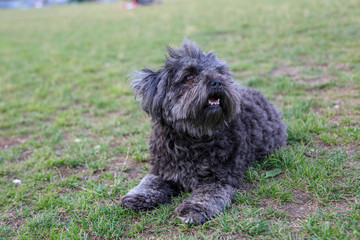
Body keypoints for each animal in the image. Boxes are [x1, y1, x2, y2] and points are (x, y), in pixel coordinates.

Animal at [121, 39, 286, 225]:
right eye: (189, 77)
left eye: (220, 72)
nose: (217, 82)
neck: (192, 137)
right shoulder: (162, 170)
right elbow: (150, 182)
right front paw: (139, 196)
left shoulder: (219, 178)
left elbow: (207, 195)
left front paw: (194, 208)